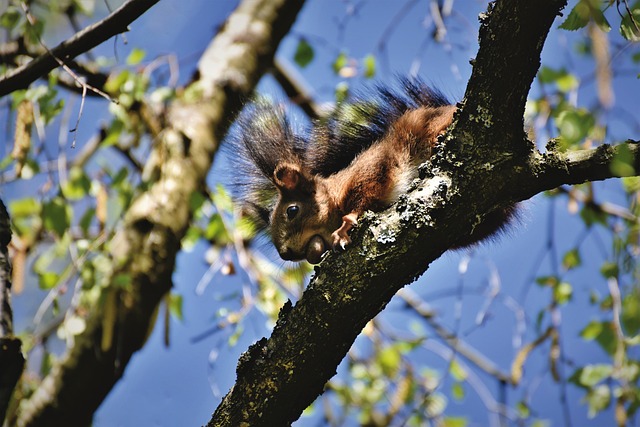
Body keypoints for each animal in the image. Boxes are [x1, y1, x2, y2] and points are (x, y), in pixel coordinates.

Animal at [235, 78, 516, 262]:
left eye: (292, 211)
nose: (285, 254)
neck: (335, 193)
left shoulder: (371, 168)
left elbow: (366, 193)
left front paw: (346, 226)